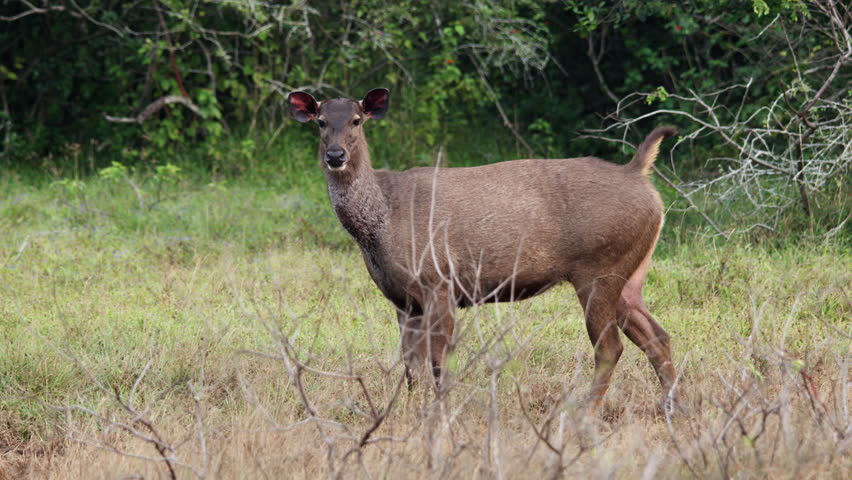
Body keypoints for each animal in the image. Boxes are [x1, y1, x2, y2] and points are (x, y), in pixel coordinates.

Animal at [288, 87, 678, 410]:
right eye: (321, 122)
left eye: (356, 120)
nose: (335, 155)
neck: (382, 220)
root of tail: (638, 174)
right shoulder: (402, 299)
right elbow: (411, 367)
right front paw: (410, 413)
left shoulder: (439, 282)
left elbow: (438, 363)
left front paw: (441, 414)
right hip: (631, 272)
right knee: (656, 335)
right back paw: (672, 406)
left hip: (599, 267)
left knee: (611, 347)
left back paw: (586, 412)